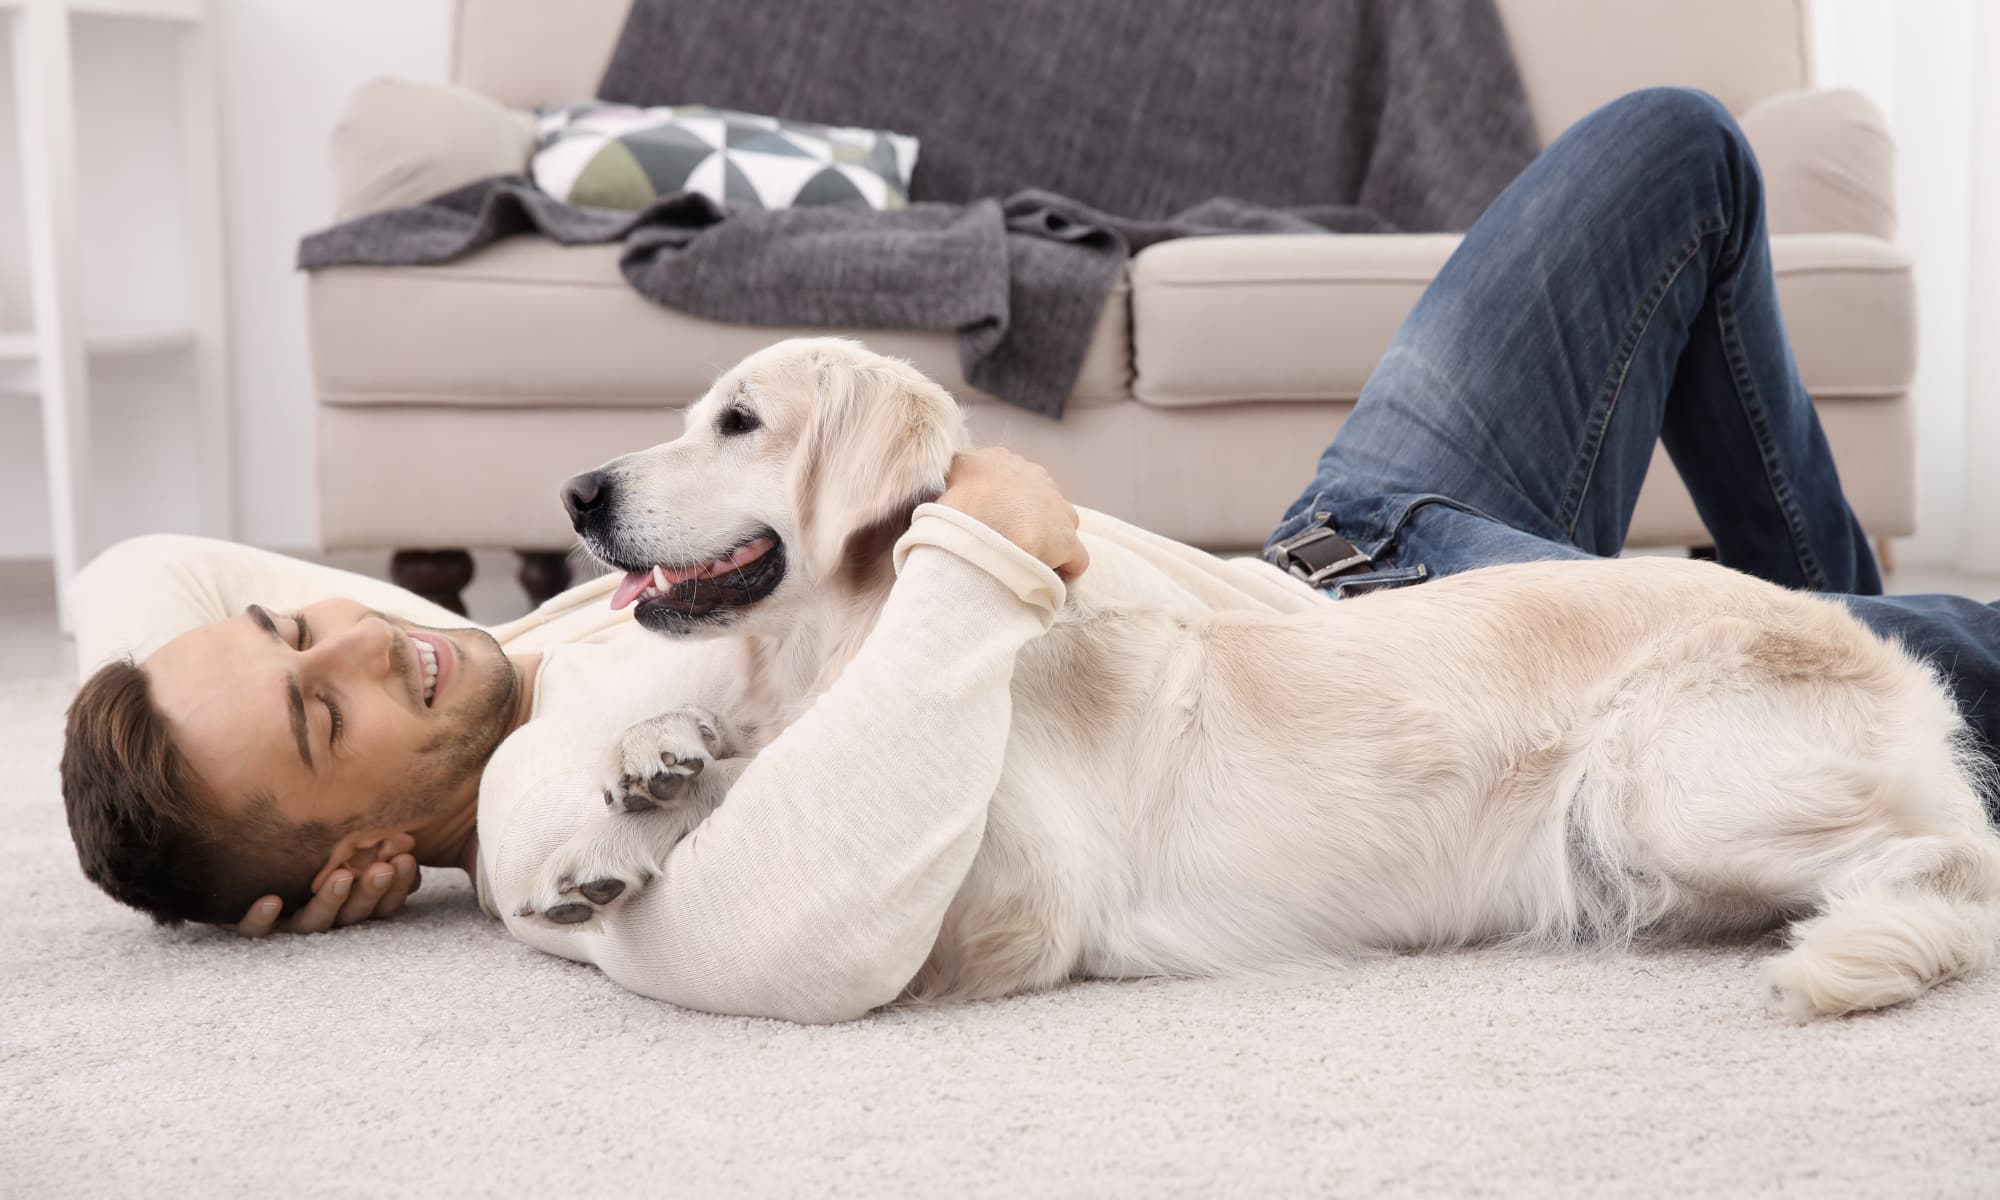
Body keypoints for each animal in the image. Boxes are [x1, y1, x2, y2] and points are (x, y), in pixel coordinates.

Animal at [520, 338, 2000, 1020]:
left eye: (739, 422)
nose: (577, 493)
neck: (866, 622)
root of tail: (1885, 658)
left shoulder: (1021, 898)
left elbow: (787, 768)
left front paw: (649, 802)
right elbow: (725, 741)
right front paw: (641, 773)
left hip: (1655, 785)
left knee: (1955, 864)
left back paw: (1860, 946)